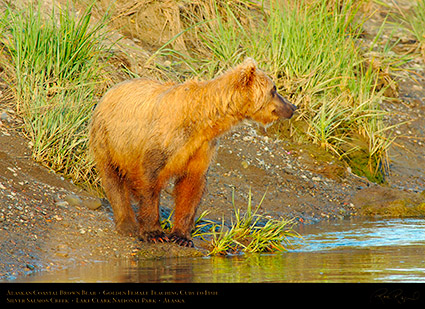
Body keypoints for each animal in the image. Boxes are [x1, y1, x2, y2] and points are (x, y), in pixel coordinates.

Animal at [88, 57, 296, 245]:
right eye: (274, 89)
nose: (292, 107)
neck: (202, 120)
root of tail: (109, 90)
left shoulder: (201, 148)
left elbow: (191, 185)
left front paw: (181, 236)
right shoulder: (164, 139)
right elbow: (150, 179)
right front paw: (154, 233)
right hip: (109, 138)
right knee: (113, 179)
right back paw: (128, 225)